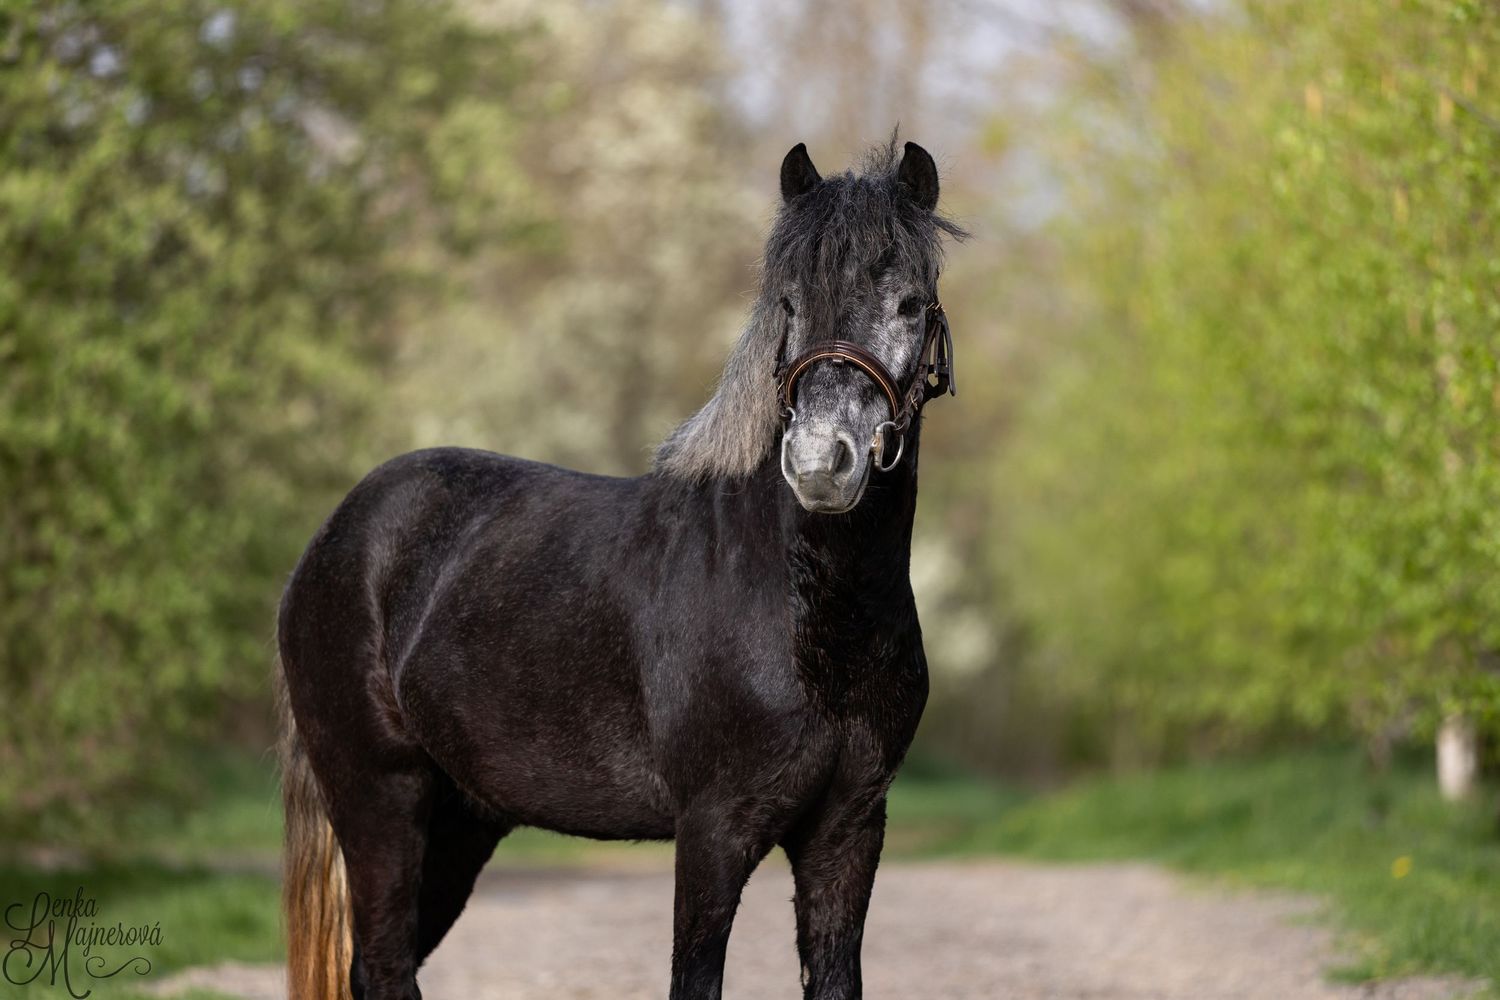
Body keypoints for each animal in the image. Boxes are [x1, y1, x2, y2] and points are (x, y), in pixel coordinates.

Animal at [276, 136, 967, 1000]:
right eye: (788, 303)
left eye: (909, 303)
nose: (820, 462)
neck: (809, 616)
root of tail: (336, 536)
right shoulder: (712, 831)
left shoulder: (848, 830)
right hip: (380, 800)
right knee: (386, 964)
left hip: (461, 822)